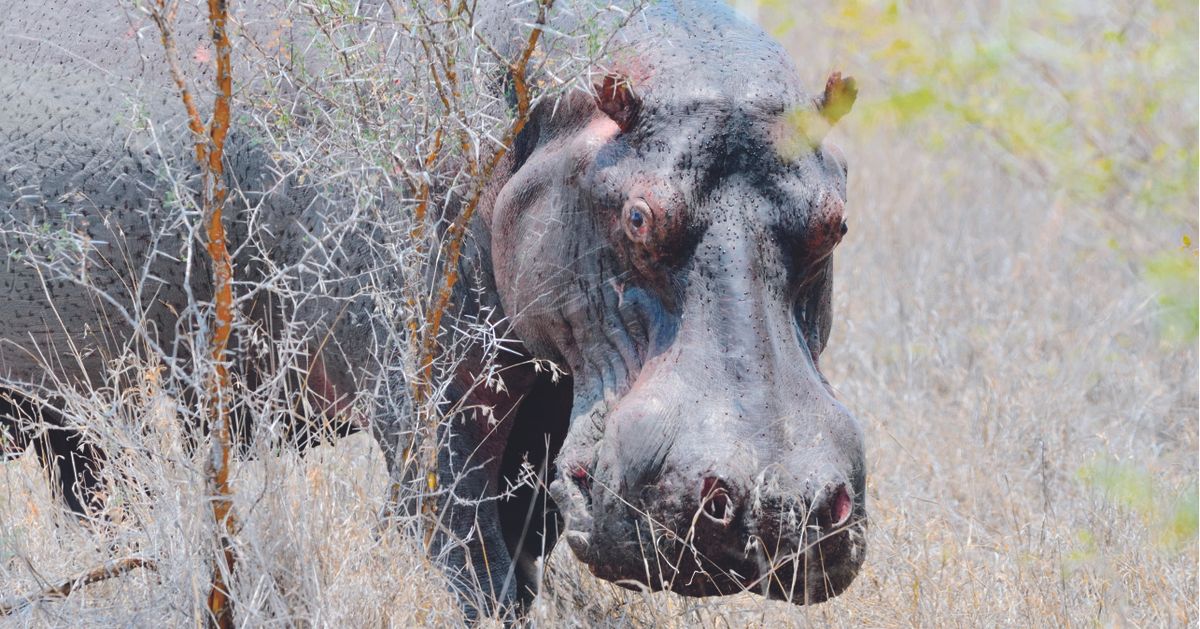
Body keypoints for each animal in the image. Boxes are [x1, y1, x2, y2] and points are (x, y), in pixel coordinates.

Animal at [0, 0, 864, 619]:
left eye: (836, 221)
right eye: (640, 215)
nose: (774, 509)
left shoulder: (542, 407)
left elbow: (522, 554)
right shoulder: (432, 402)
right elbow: (466, 551)